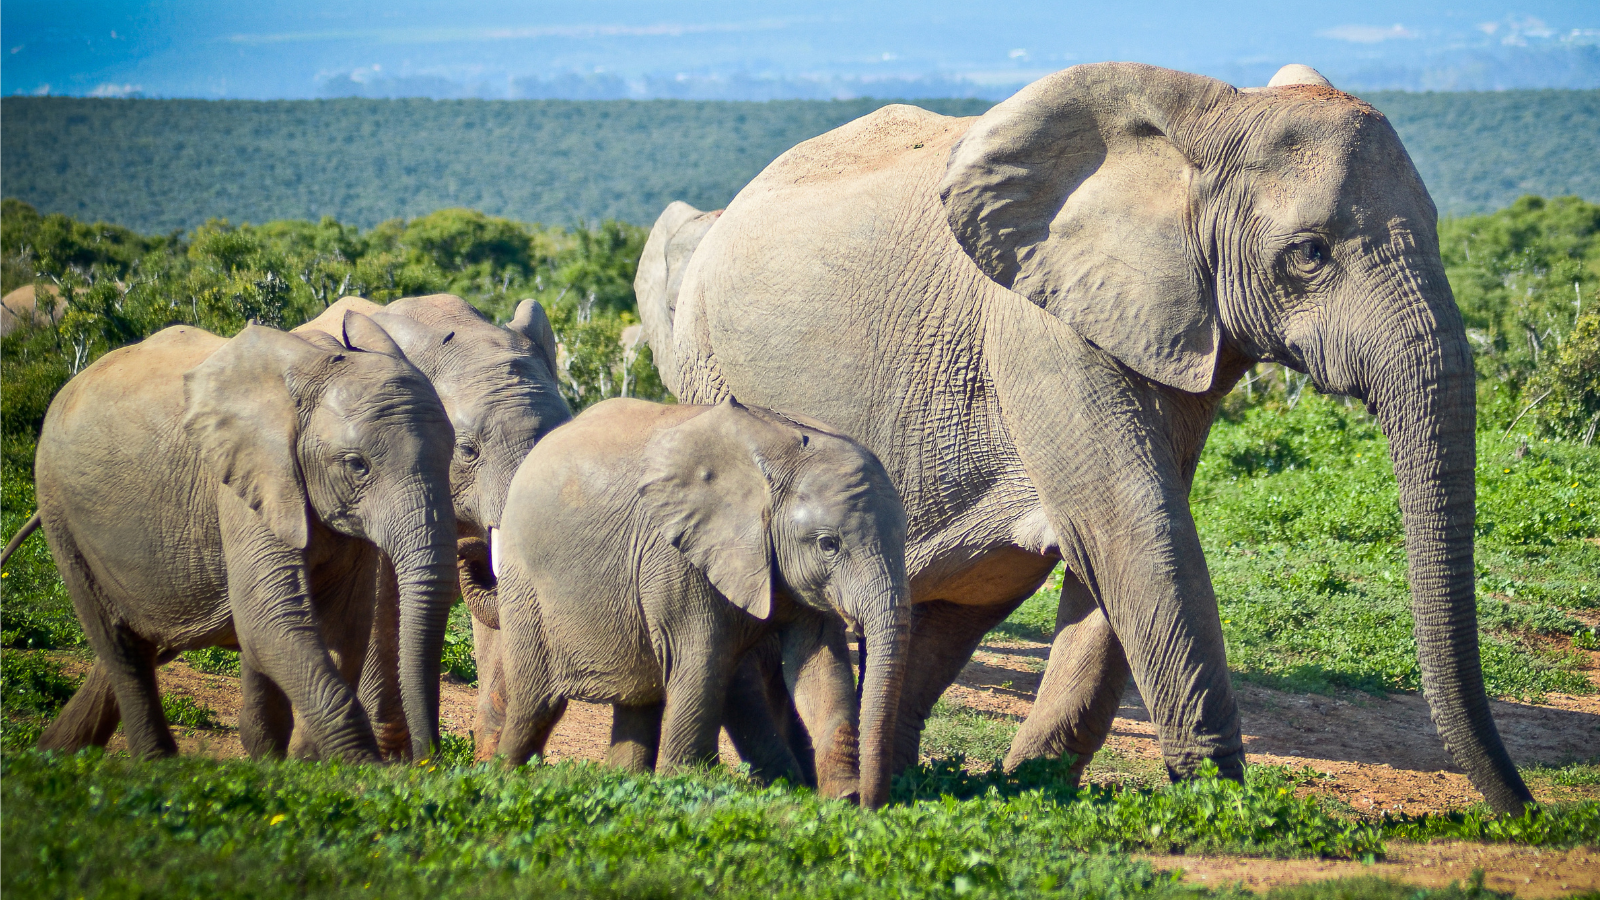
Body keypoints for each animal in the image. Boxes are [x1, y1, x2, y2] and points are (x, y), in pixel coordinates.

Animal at [36, 313, 457, 755]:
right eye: (357, 465)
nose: (427, 758)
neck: (314, 364)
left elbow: (343, 625)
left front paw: (309, 763)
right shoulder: (248, 481)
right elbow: (267, 622)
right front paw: (358, 767)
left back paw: (54, 751)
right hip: (59, 509)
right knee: (121, 647)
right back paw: (152, 762)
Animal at [492, 395, 908, 800]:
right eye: (828, 545)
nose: (870, 804)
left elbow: (821, 667)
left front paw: (842, 797)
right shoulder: (674, 556)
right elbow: (701, 658)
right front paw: (689, 785)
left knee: (638, 700)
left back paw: (625, 782)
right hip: (524, 583)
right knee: (537, 702)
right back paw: (504, 776)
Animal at [656, 59, 1529, 810]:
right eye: (1309, 254)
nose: (1522, 811)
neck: (1211, 119)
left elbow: (1123, 534)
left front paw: (1030, 784)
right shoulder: (1039, 324)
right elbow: (1135, 523)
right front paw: (1218, 799)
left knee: (961, 599)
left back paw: (894, 781)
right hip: (706, 362)